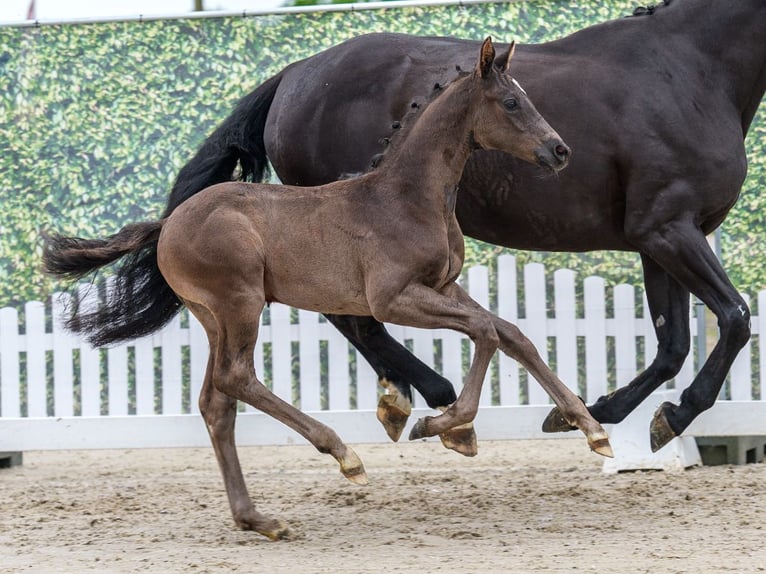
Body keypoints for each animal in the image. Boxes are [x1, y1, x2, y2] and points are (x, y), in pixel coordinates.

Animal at [43, 39, 612, 539]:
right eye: (512, 102)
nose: (559, 150)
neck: (407, 197)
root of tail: (168, 224)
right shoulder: (393, 298)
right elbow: (485, 333)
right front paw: (444, 426)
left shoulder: (443, 287)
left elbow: (512, 334)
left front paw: (592, 431)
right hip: (241, 304)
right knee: (237, 377)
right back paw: (345, 456)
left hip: (212, 317)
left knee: (215, 403)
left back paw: (258, 519)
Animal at [156, 0, 764, 453]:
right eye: (512, 103)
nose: (559, 150)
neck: (692, 68)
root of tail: (293, 74)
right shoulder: (667, 228)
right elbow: (735, 318)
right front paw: (672, 415)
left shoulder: (661, 236)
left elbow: (673, 343)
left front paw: (600, 412)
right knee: (351, 317)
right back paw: (425, 396)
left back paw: (406, 399)